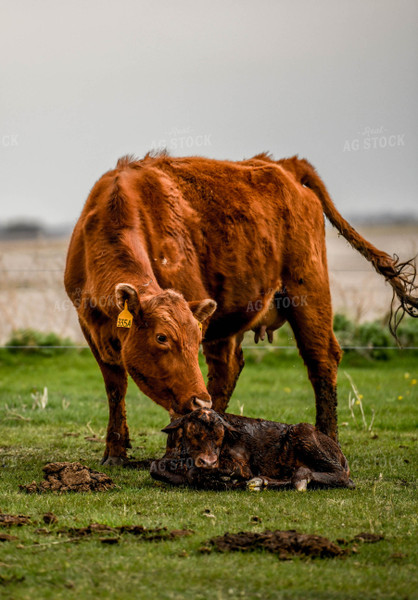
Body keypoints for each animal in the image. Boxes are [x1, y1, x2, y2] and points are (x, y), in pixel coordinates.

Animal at [63, 150, 416, 464]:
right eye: (161, 338)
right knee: (227, 370)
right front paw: (115, 451)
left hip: (309, 290)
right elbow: (115, 388)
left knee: (321, 359)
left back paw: (329, 442)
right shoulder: (90, 327)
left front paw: (174, 450)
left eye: (194, 338)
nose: (199, 401)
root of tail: (284, 165)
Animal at [149, 408, 354, 492]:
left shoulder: (241, 466)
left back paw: (301, 478)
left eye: (219, 436)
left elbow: (196, 473)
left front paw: (225, 480)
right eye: (193, 433)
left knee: (343, 477)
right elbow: (154, 467)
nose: (208, 461)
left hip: (304, 432)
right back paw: (262, 481)